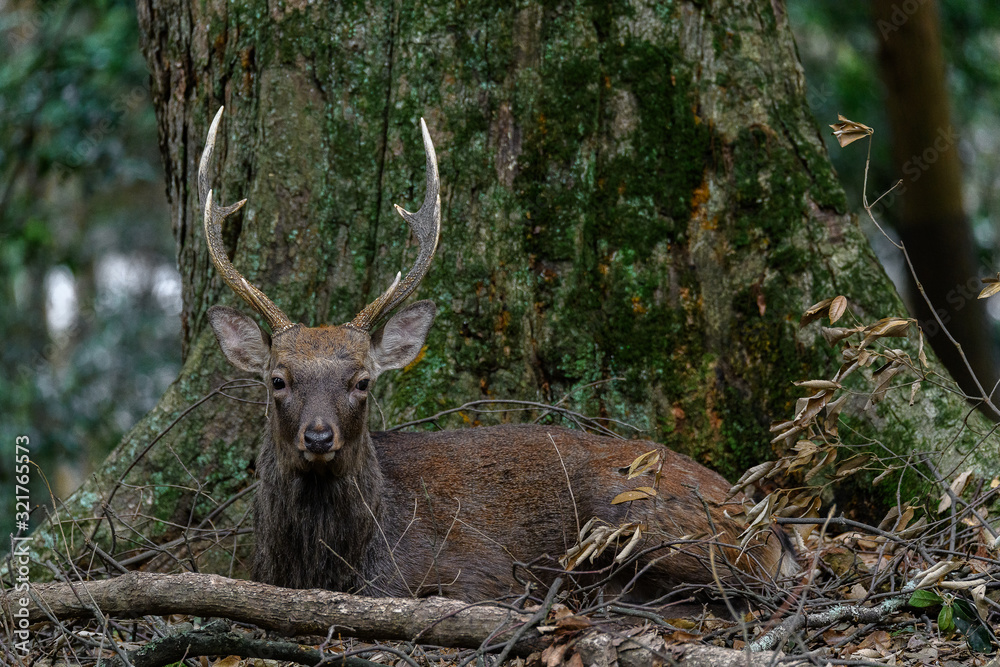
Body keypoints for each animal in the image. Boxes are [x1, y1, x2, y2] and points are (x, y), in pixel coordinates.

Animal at [199, 107, 793, 602]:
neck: (333, 565)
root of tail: (766, 523)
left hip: (641, 519)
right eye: (278, 379)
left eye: (363, 381)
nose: (319, 437)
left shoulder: (475, 572)